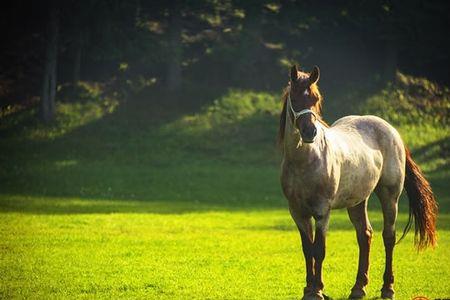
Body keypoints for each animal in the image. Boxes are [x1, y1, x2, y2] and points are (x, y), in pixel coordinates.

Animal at [280, 65, 438, 300]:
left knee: (388, 236)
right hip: (356, 202)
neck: (305, 161)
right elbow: (308, 249)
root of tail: (392, 131)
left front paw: (317, 290)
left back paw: (387, 288)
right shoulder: (297, 212)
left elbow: (319, 249)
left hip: (389, 196)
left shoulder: (322, 212)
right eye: (296, 97)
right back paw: (358, 288)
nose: (310, 132)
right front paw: (309, 289)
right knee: (365, 235)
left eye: (316, 99)